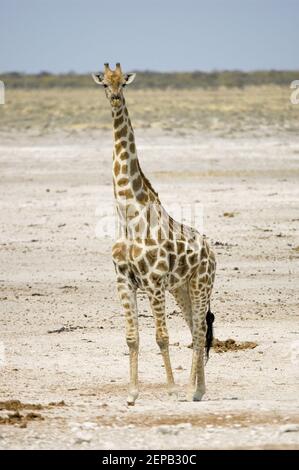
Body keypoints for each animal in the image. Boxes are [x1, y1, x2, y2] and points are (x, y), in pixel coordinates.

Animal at [92, 64, 217, 406]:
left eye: (123, 82)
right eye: (104, 83)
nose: (114, 97)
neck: (129, 217)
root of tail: (212, 251)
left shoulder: (153, 281)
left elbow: (162, 336)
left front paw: (171, 390)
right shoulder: (124, 280)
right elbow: (132, 337)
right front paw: (132, 394)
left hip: (200, 284)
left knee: (199, 330)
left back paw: (188, 391)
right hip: (181, 288)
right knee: (196, 328)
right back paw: (198, 390)